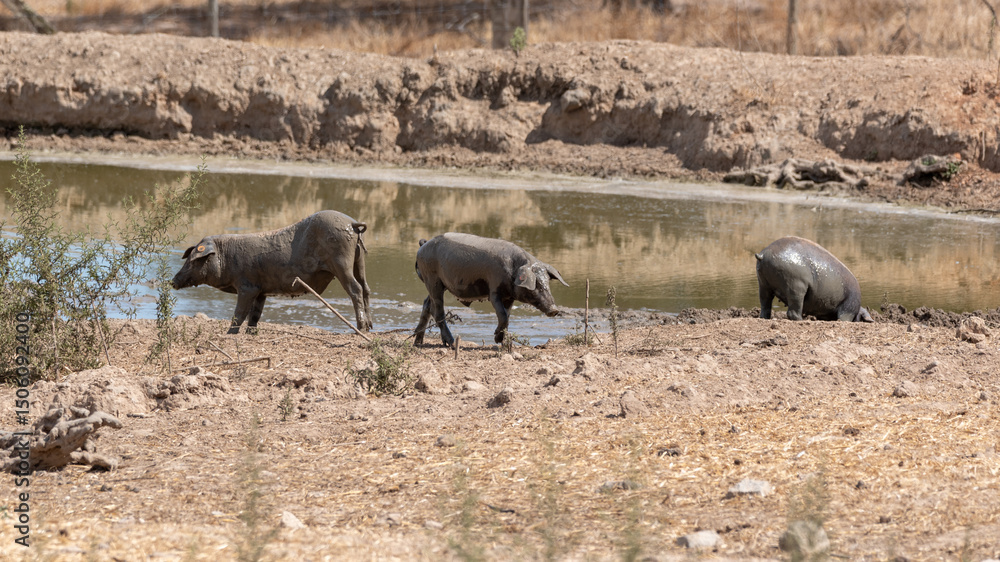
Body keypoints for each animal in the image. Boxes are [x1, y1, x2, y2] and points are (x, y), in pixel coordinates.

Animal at [172, 210, 373, 334]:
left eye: (195, 260)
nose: (173, 281)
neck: (227, 255)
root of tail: (352, 223)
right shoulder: (261, 290)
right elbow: (255, 314)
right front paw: (251, 333)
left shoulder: (247, 287)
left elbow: (240, 312)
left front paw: (229, 333)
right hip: (359, 260)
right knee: (366, 288)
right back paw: (370, 327)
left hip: (342, 262)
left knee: (355, 289)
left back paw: (361, 328)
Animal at [413, 233, 569, 346]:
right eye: (536, 285)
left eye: (547, 283)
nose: (554, 309)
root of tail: (423, 244)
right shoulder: (494, 290)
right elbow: (502, 314)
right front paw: (497, 340)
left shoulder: (509, 297)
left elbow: (507, 315)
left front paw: (500, 340)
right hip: (432, 278)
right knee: (437, 310)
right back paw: (450, 344)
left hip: (435, 283)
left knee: (427, 304)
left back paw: (418, 342)